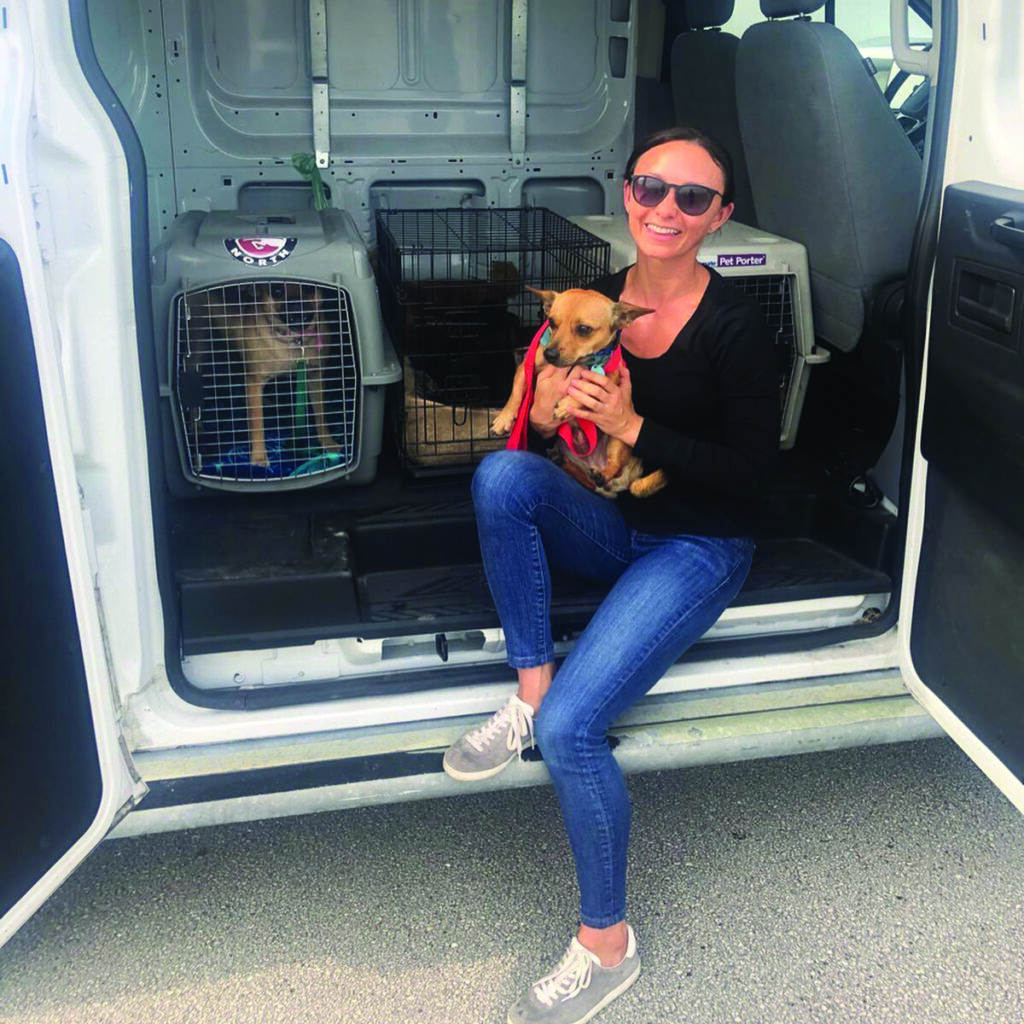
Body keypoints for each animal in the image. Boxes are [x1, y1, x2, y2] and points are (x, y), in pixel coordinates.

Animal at [200, 281, 339, 467]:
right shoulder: (254, 381)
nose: (295, 305)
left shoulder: (315, 376)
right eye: (277, 291)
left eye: (309, 288)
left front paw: (327, 441)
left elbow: (321, 414)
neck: (292, 340)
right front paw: (259, 456)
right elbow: (257, 422)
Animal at [491, 286, 667, 499]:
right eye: (551, 322)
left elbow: (583, 391)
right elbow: (515, 393)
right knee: (588, 483)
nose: (550, 354)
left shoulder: (606, 380)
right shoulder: (526, 368)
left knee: (614, 467)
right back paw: (563, 462)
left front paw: (566, 406)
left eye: (584, 329)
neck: (580, 362)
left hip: (618, 439)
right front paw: (504, 418)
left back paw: (601, 474)